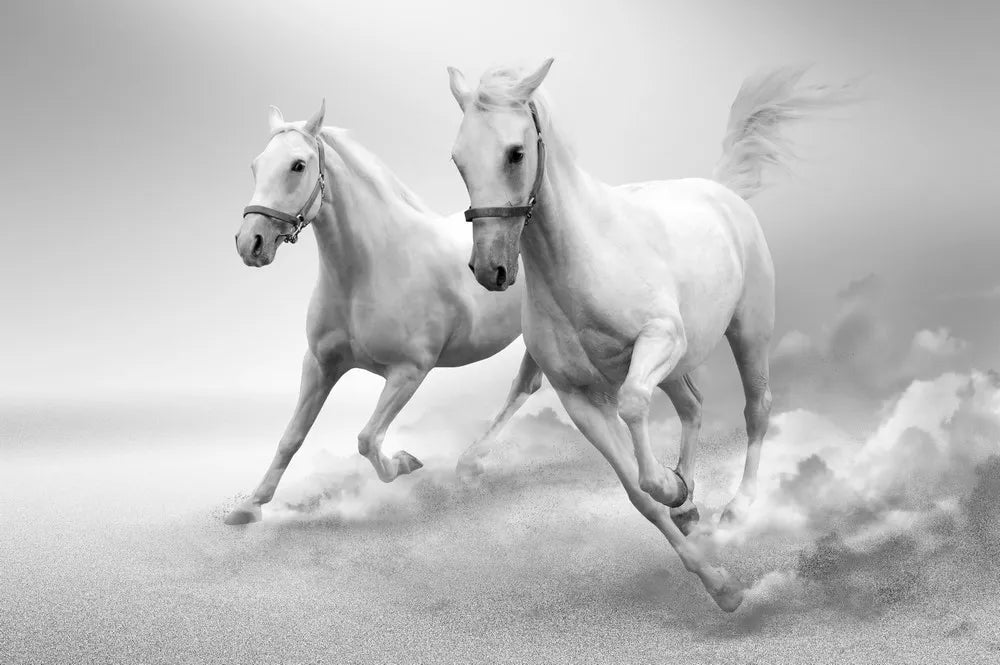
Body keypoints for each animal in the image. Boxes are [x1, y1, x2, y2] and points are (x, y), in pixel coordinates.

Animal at [226, 101, 543, 525]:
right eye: (256, 165)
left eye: (298, 165)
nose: (250, 243)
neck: (371, 270)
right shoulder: (320, 365)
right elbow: (291, 437)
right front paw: (250, 506)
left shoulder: (409, 371)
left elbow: (367, 439)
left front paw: (406, 462)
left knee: (525, 386)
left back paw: (470, 461)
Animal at [446, 61, 855, 610]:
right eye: (458, 160)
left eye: (515, 152)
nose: (489, 270)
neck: (584, 259)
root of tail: (720, 192)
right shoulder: (579, 398)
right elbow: (638, 495)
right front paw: (716, 577)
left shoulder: (659, 340)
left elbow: (635, 406)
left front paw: (673, 490)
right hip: (680, 366)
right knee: (694, 405)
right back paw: (691, 503)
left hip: (747, 330)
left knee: (757, 408)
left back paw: (738, 507)